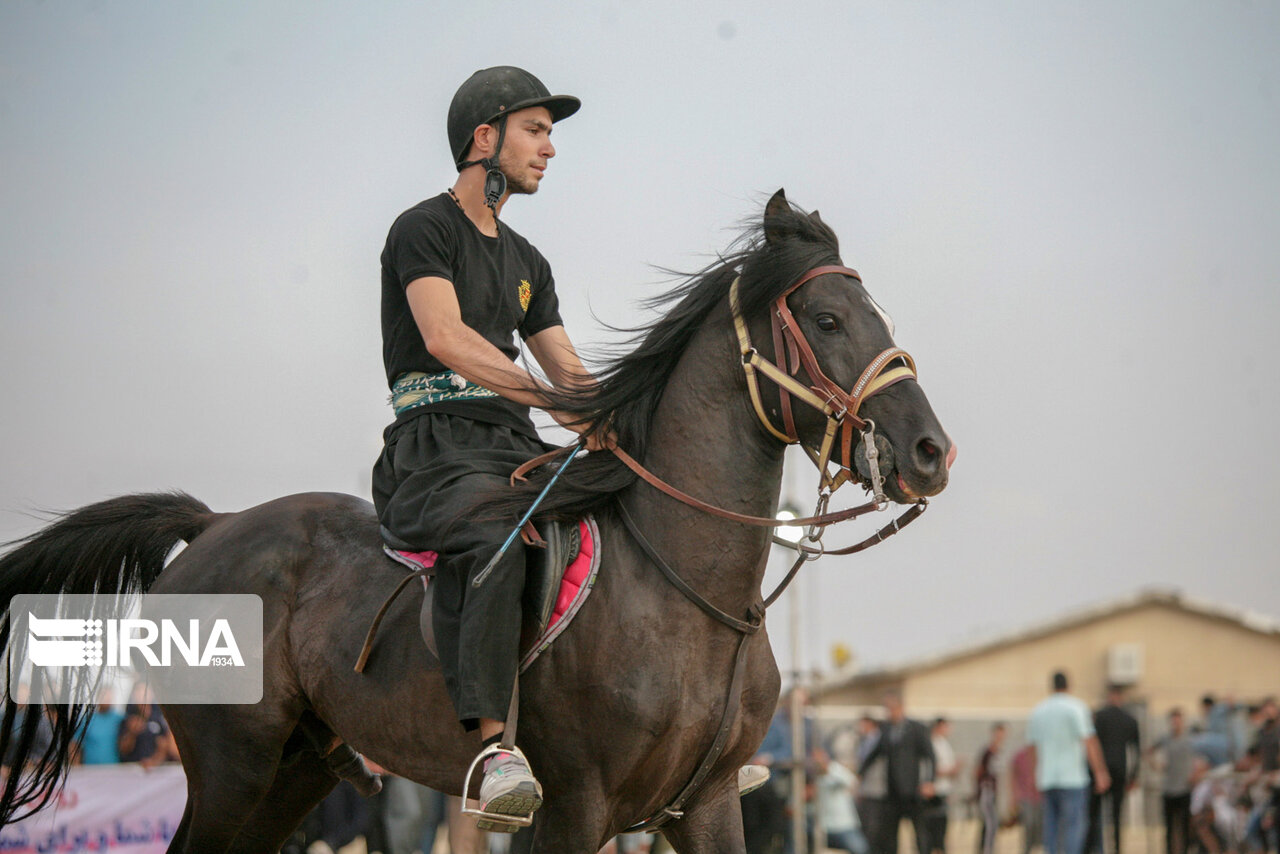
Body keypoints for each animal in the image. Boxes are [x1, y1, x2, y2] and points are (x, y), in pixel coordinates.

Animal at [0, 190, 952, 850]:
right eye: (826, 319)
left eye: (877, 317)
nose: (930, 451)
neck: (685, 595)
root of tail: (215, 523)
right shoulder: (575, 808)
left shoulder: (709, 805)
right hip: (234, 763)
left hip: (293, 770)